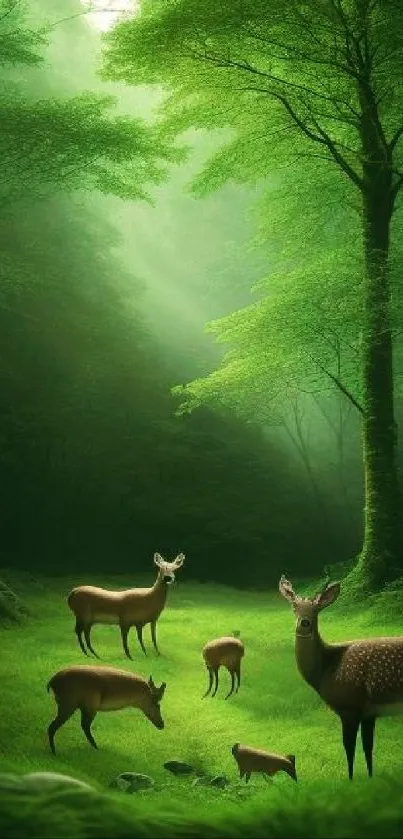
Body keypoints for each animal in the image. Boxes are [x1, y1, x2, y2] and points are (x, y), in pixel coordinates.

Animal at [280, 576, 403, 780]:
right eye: (294, 606)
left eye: (316, 608)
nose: (304, 622)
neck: (325, 671)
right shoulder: (369, 712)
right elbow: (368, 747)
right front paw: (370, 777)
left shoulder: (349, 706)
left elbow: (349, 747)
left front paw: (351, 779)